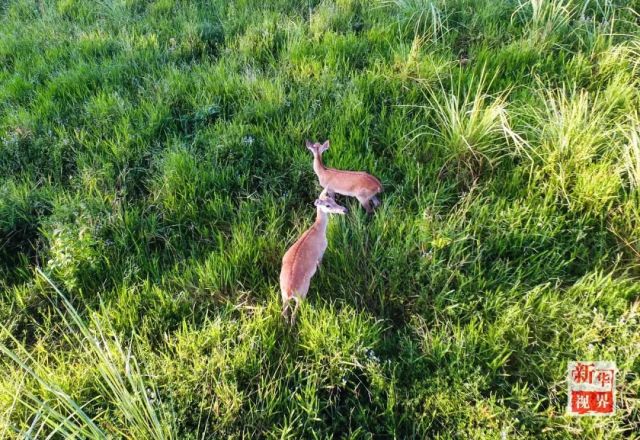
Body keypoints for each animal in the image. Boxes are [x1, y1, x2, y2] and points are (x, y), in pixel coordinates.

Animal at [280, 193, 348, 324]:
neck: (317, 229)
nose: (344, 210)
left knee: (285, 312)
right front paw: (324, 275)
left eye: (333, 200)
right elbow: (320, 265)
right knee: (294, 313)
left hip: (284, 295)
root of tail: (290, 291)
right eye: (327, 205)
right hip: (301, 294)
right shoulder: (321, 253)